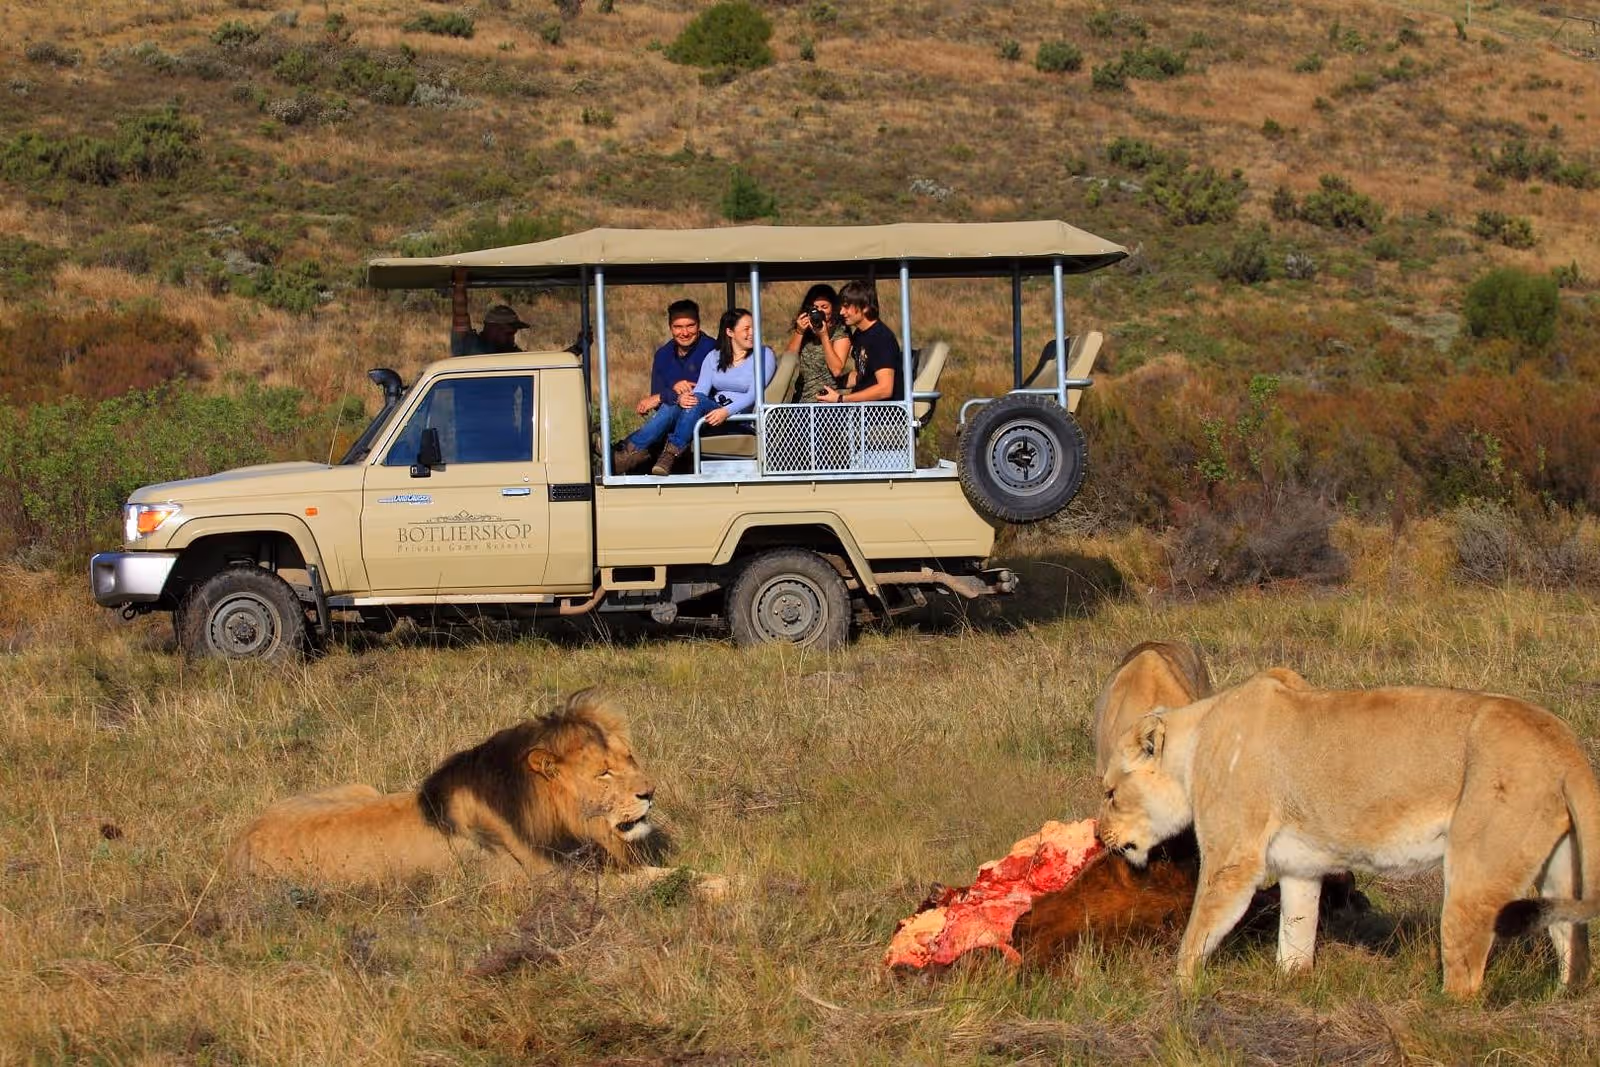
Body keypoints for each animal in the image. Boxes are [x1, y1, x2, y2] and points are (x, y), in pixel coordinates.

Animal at [229, 689, 662, 884]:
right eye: (603, 774)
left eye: (628, 759)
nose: (650, 792)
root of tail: (239, 841)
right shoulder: (548, 879)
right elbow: (656, 878)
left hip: (359, 787)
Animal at [1098, 668, 1600, 997]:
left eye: (1110, 793)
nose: (1100, 835)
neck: (1197, 740)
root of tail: (1566, 745)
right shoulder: (1299, 867)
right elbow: (1296, 932)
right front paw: (1291, 982)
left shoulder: (1233, 860)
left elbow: (1198, 929)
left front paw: (1177, 990)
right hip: (1558, 867)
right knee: (1571, 941)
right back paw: (1563, 997)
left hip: (1476, 872)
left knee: (1467, 974)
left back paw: (1441, 1006)